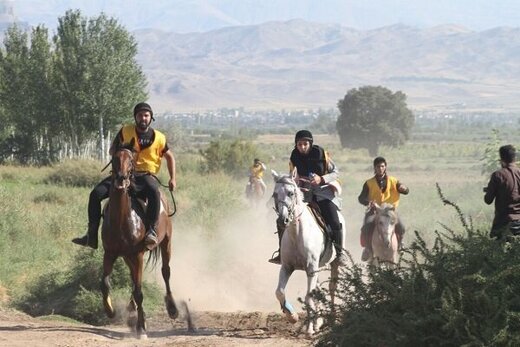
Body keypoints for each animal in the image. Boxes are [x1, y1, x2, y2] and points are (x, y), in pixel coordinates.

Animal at [100, 145, 178, 340]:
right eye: (114, 158)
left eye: (131, 160)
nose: (121, 178)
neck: (122, 220)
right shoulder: (110, 253)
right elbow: (104, 283)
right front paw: (110, 310)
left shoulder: (138, 255)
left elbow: (139, 292)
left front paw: (141, 328)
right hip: (127, 257)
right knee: (133, 278)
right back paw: (131, 307)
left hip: (166, 243)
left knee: (165, 272)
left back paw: (172, 308)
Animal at [272, 169, 346, 338]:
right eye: (274, 194)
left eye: (291, 193)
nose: (282, 220)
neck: (296, 233)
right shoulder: (287, 267)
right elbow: (280, 292)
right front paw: (292, 316)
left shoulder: (311, 269)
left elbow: (308, 297)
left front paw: (309, 329)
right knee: (318, 290)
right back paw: (318, 322)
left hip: (332, 264)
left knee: (332, 288)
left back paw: (331, 319)